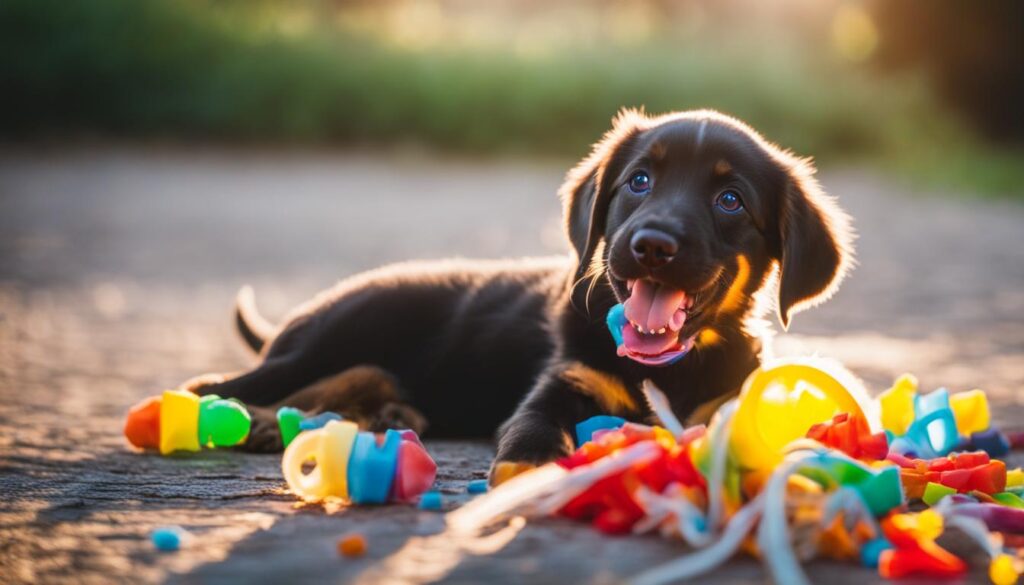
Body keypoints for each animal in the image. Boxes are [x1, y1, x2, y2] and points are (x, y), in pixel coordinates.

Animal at [180, 109, 851, 485]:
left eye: (729, 199)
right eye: (639, 181)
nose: (652, 245)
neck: (670, 367)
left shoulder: (723, 399)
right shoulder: (561, 381)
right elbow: (532, 424)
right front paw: (527, 470)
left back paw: (379, 416)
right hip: (330, 338)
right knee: (220, 386)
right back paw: (258, 420)